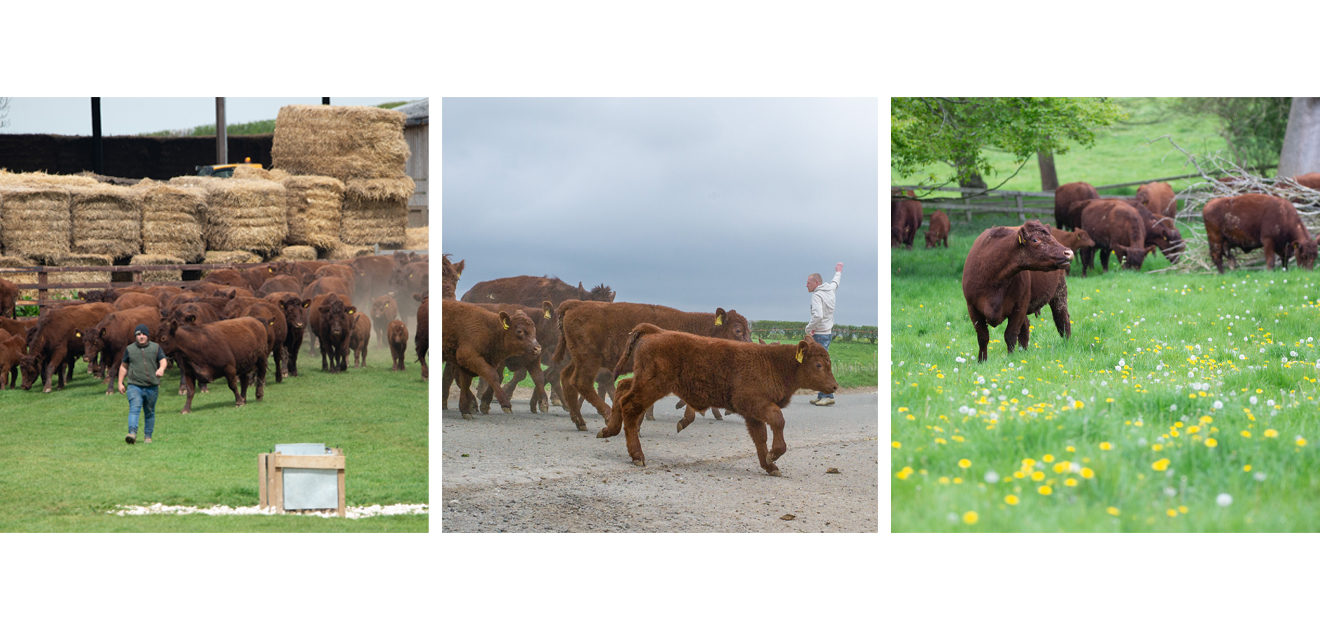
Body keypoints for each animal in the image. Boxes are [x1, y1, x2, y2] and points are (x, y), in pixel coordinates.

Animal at [551, 298, 749, 427]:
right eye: (738, 330)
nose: (749, 347)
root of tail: (575, 304)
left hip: (578, 359)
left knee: (567, 378)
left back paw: (579, 421)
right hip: (589, 360)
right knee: (581, 382)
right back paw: (606, 415)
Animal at [966, 219, 1077, 361]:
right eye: (1035, 240)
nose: (1068, 252)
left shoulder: (1019, 307)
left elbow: (1010, 335)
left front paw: (1010, 359)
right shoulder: (972, 308)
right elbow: (983, 337)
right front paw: (982, 361)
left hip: (1059, 293)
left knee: (1062, 321)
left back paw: (1066, 344)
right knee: (1026, 328)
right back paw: (1023, 351)